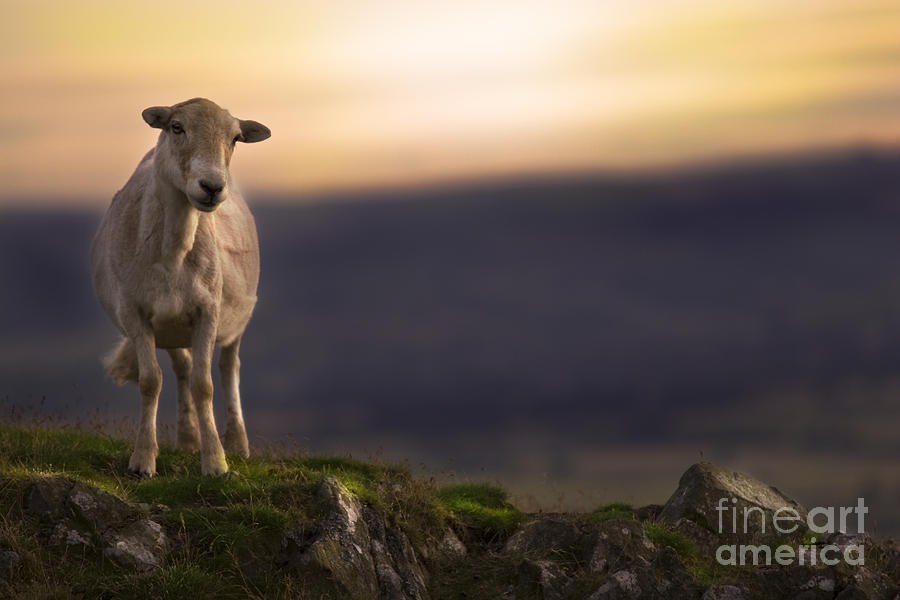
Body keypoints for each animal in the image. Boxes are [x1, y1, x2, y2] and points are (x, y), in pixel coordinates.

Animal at [94, 96, 274, 476]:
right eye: (176, 127)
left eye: (236, 138)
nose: (212, 186)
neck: (173, 253)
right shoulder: (136, 313)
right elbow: (151, 381)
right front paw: (143, 460)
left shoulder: (209, 311)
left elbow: (204, 385)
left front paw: (216, 462)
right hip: (171, 328)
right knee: (181, 369)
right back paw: (188, 438)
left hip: (236, 321)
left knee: (228, 368)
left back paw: (237, 443)